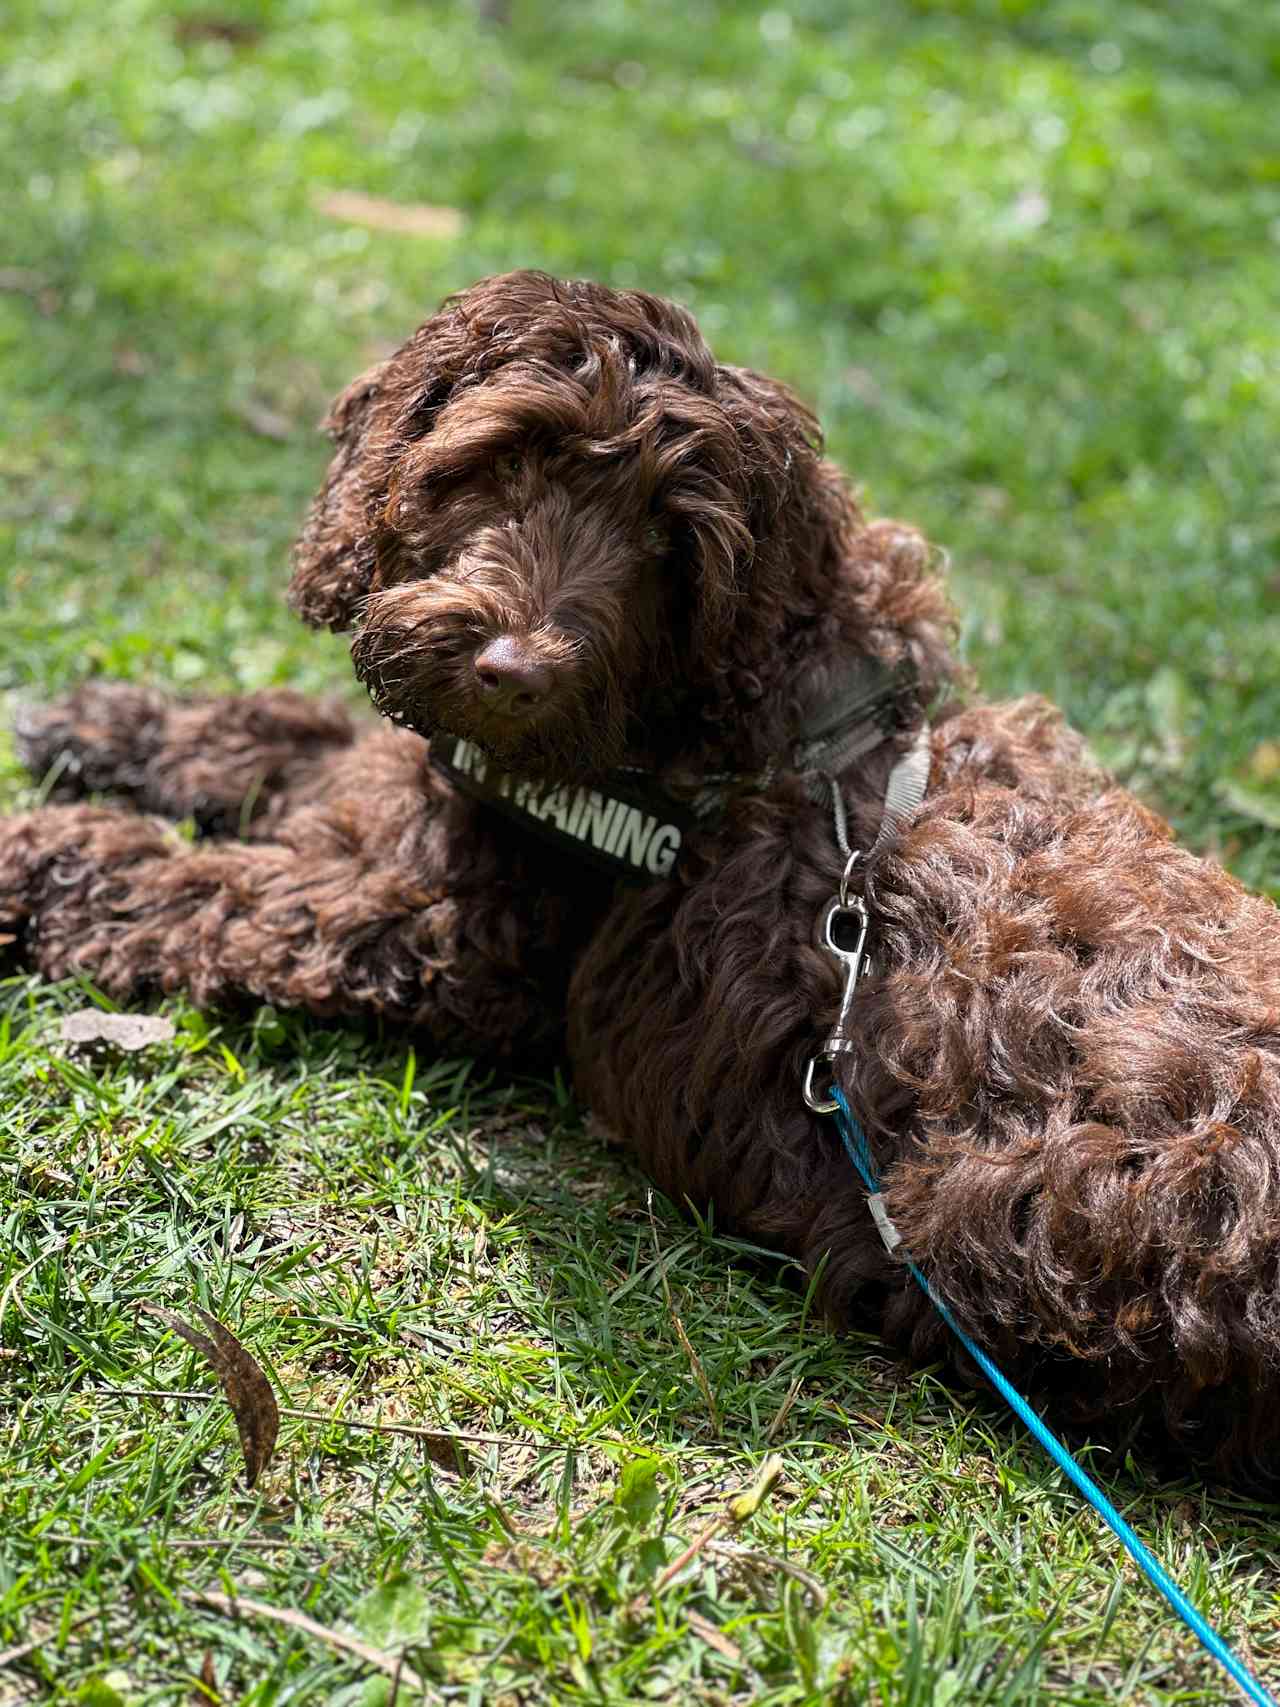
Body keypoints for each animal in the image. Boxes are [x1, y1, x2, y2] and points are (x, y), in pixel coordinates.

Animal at [7, 266, 1280, 1481]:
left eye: (671, 544)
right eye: (498, 463)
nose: (511, 673)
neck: (751, 703)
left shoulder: (448, 927)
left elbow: (207, 886)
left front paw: (38, 852)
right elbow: (296, 735)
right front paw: (116, 722)